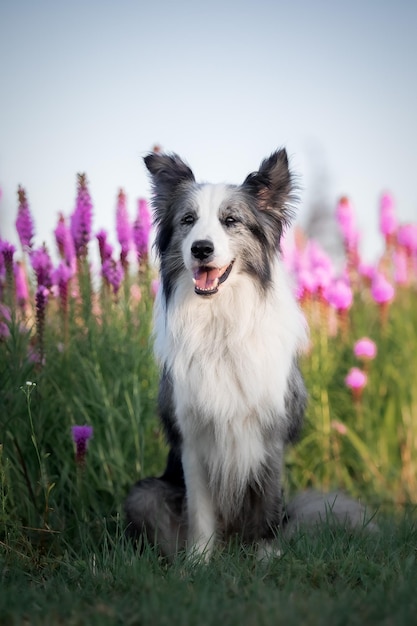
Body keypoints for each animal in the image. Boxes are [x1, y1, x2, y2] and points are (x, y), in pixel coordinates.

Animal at [123, 150, 374, 556]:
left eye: (231, 221)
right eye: (188, 220)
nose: (201, 248)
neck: (221, 326)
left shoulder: (269, 434)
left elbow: (265, 505)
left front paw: (266, 554)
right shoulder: (192, 436)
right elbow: (200, 511)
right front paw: (199, 560)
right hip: (143, 495)